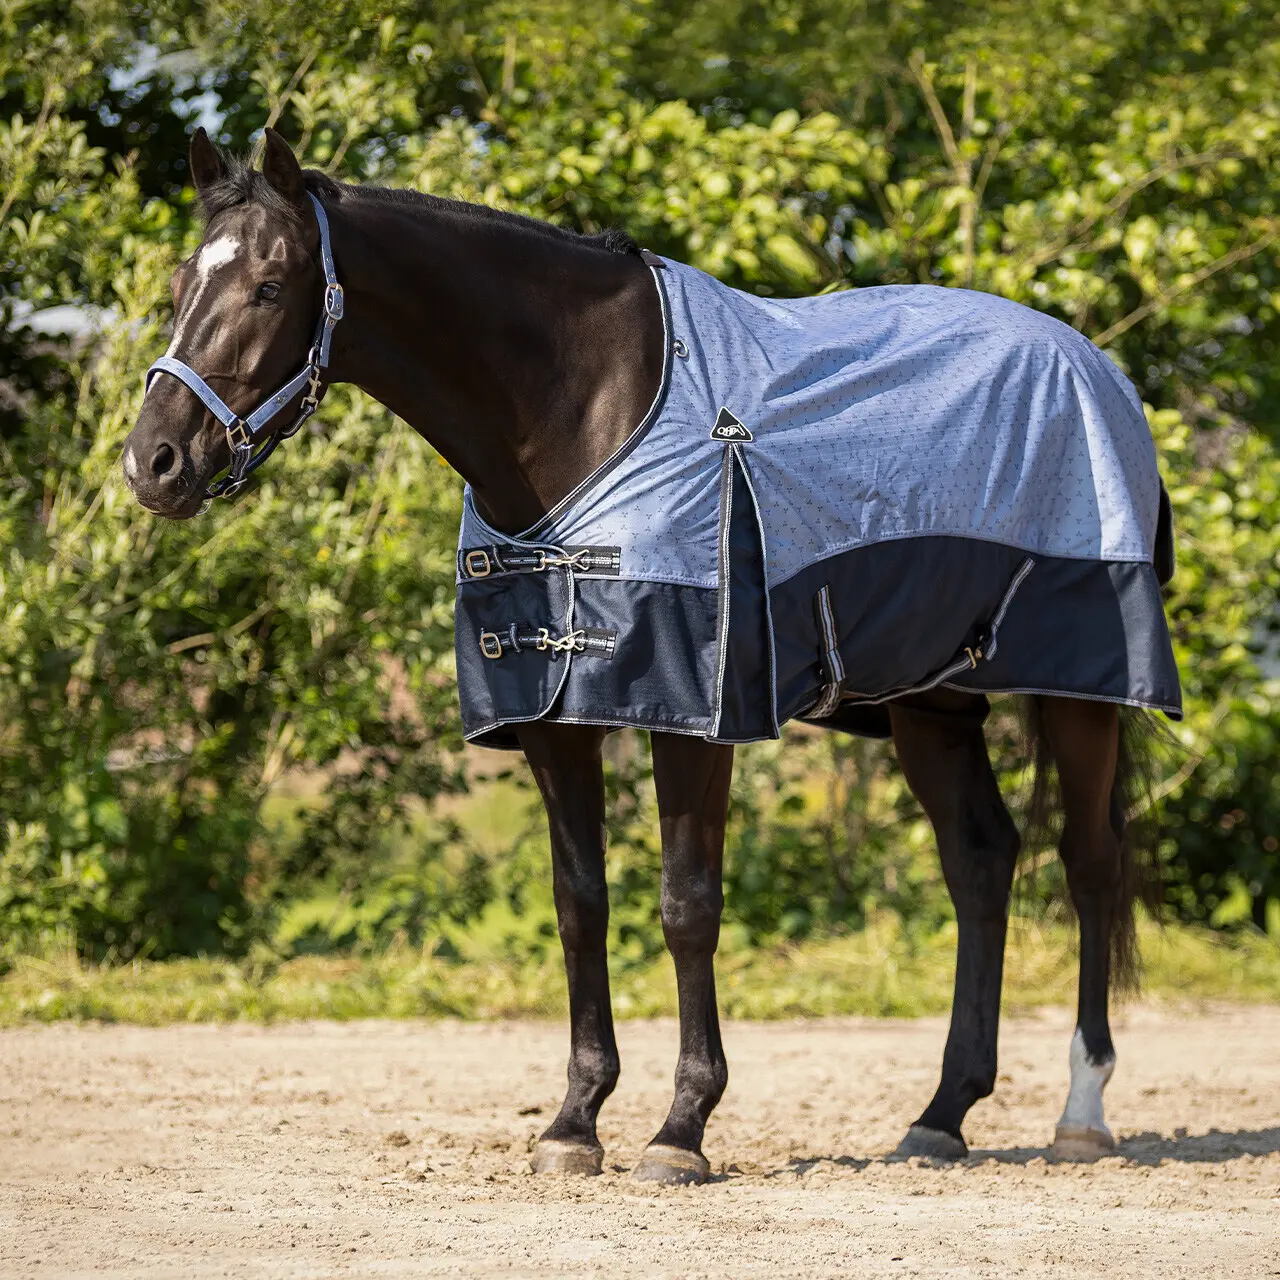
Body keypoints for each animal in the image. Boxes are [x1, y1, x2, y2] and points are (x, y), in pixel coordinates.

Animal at [122, 127, 1180, 1184]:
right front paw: (574, 1121)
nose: (152, 464)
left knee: (1089, 865)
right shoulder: (554, 717)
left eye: (270, 286)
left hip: (1082, 691)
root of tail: (1103, 375)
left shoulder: (694, 714)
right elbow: (579, 904)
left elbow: (686, 907)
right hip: (933, 704)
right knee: (980, 862)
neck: (584, 407)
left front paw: (682, 1128)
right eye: (181, 282)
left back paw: (1082, 1113)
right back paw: (941, 1114)